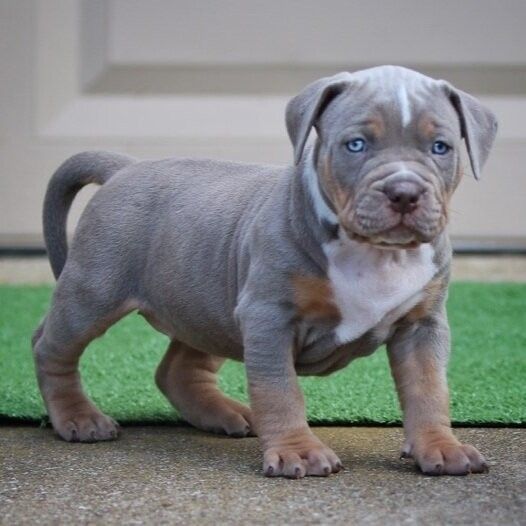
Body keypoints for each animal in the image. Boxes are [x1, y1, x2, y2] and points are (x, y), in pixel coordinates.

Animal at [34, 65, 500, 478]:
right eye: (355, 145)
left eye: (440, 148)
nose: (404, 192)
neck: (375, 253)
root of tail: (125, 167)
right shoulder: (268, 317)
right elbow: (279, 390)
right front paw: (300, 452)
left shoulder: (422, 325)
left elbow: (429, 388)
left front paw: (441, 447)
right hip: (94, 291)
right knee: (51, 346)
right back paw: (79, 418)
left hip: (210, 304)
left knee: (177, 369)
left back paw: (223, 414)